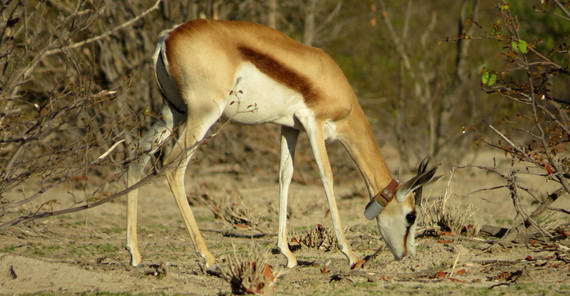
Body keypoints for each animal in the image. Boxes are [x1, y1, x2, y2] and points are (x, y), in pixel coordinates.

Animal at [125, 17, 440, 268]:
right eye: (411, 216)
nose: (407, 254)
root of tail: (169, 35)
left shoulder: (290, 128)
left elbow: (284, 177)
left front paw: (288, 255)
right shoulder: (314, 124)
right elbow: (327, 177)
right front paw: (350, 255)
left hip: (173, 111)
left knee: (137, 156)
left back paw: (135, 254)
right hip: (203, 115)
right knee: (172, 166)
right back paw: (208, 257)